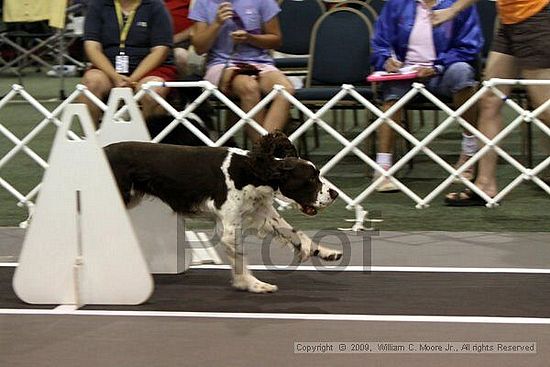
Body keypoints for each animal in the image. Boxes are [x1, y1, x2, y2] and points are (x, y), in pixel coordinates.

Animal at [104, 132, 340, 294]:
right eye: (311, 179)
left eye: (318, 174)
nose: (335, 194)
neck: (252, 172)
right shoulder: (229, 228)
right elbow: (241, 260)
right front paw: (254, 284)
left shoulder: (261, 212)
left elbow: (293, 231)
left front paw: (324, 252)